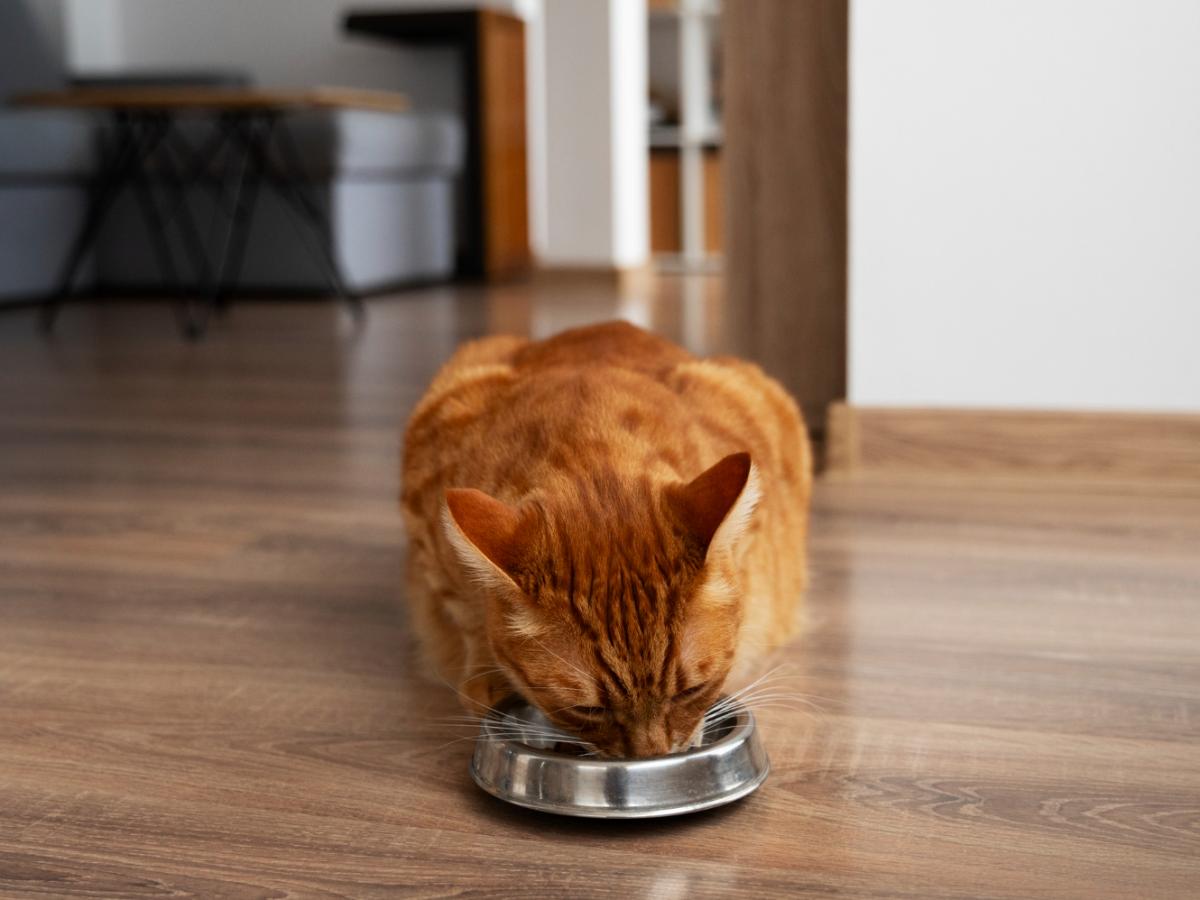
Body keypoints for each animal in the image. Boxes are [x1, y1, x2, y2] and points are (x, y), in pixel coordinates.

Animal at [401, 321, 811, 758]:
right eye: (588, 709)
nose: (650, 758)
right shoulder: (427, 517)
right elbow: (468, 618)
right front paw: (487, 673)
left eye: (692, 690)